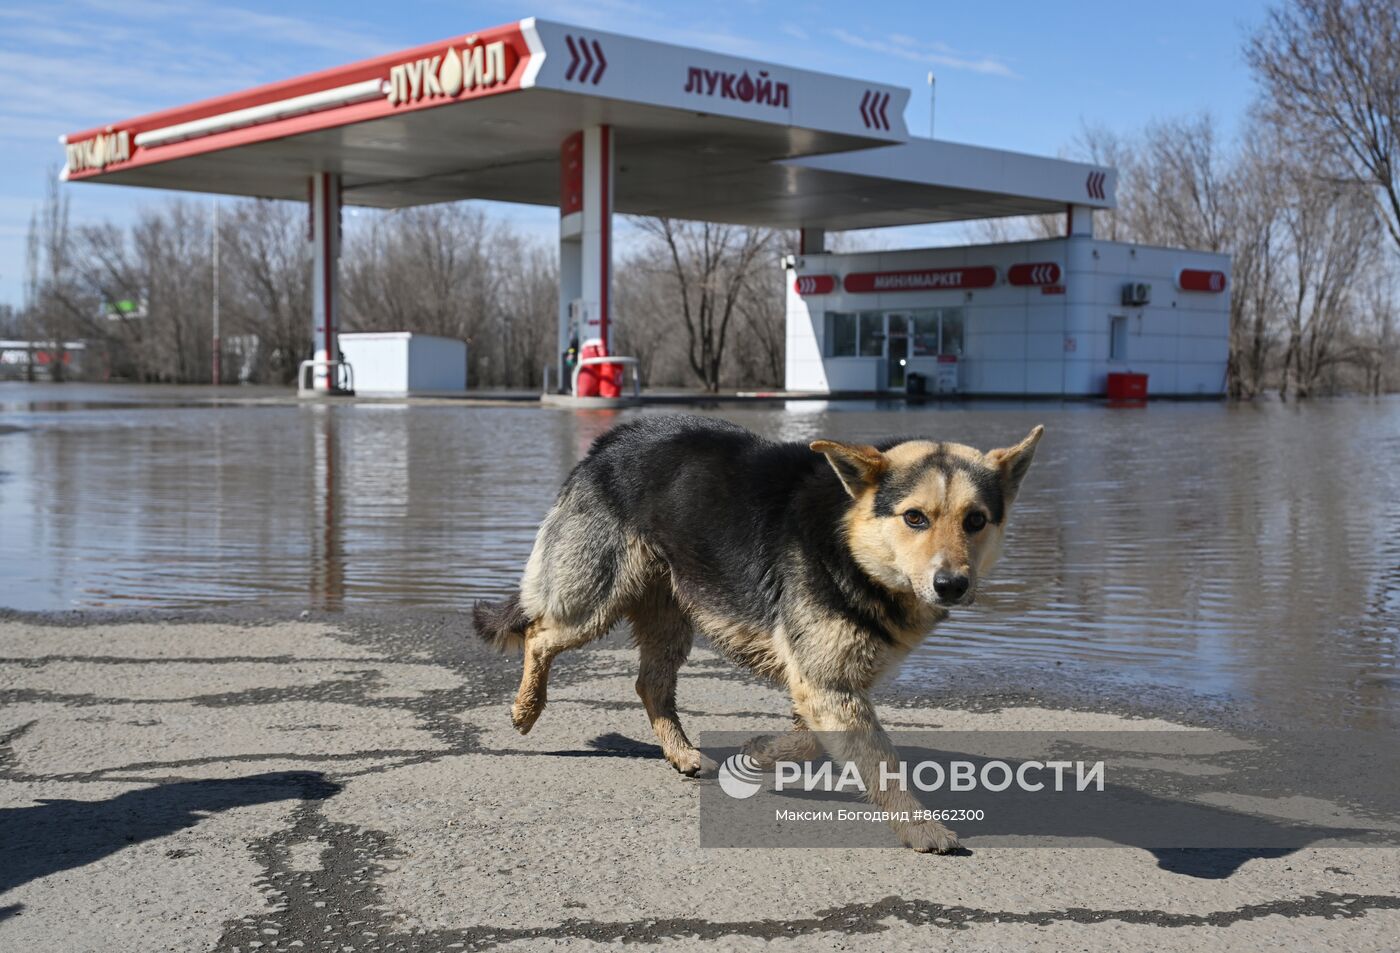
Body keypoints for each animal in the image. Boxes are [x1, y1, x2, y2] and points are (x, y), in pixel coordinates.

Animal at [476, 411, 1047, 850]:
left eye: (975, 521)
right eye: (915, 518)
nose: (952, 585)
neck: (849, 542)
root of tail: (611, 440)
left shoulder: (824, 684)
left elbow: (813, 742)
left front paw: (761, 752)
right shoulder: (825, 683)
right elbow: (877, 759)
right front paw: (920, 827)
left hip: (671, 611)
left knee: (649, 684)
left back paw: (682, 753)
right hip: (597, 599)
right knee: (539, 635)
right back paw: (525, 710)